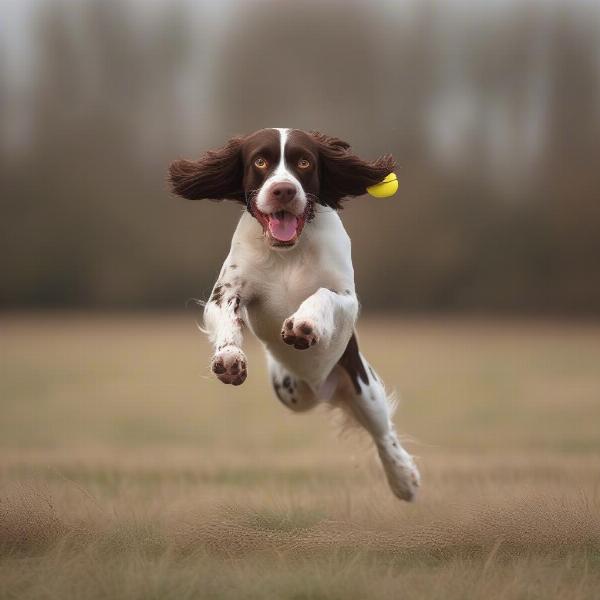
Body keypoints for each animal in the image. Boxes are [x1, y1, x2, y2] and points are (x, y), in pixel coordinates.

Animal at [169, 129, 420, 500]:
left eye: (304, 162)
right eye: (260, 161)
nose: (284, 190)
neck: (288, 251)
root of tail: (321, 389)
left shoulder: (347, 300)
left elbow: (323, 295)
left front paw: (303, 325)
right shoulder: (226, 291)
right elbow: (227, 316)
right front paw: (230, 358)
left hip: (363, 387)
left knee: (382, 433)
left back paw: (404, 479)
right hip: (290, 391)